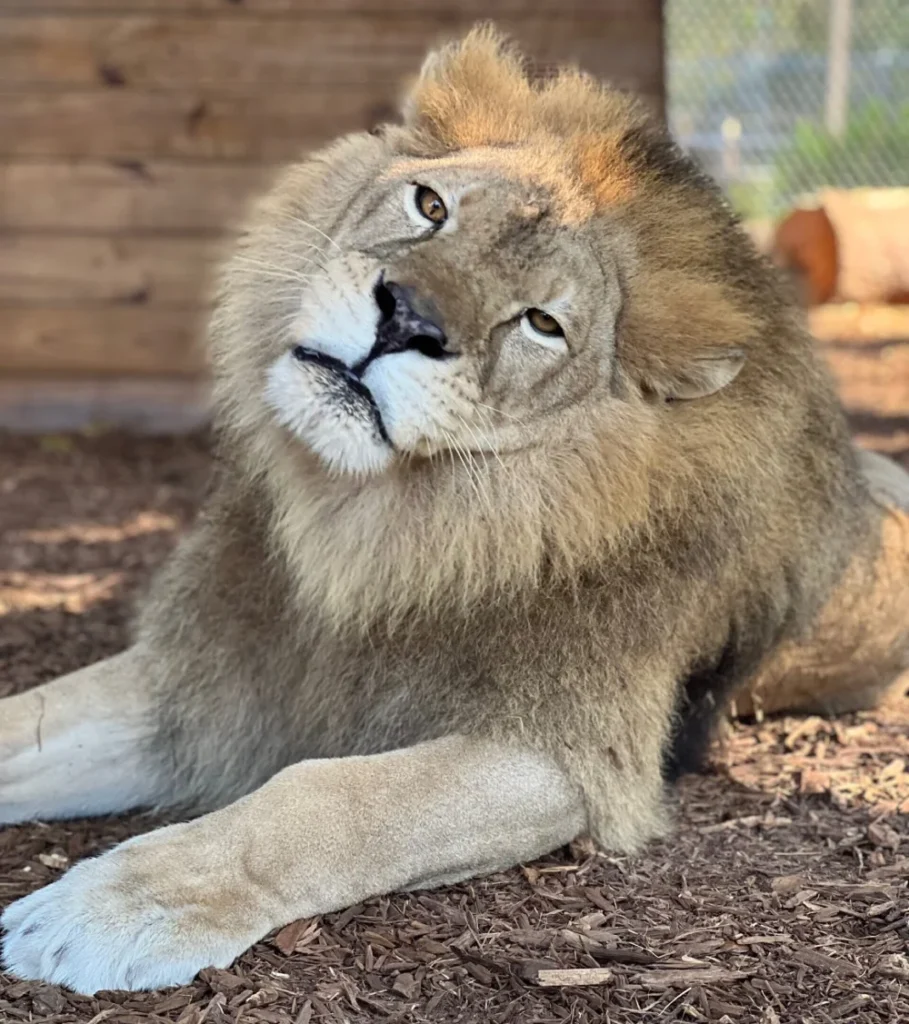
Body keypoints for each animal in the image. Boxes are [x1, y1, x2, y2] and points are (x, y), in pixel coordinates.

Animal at [2, 27, 907, 995]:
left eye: (542, 323)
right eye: (429, 205)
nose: (405, 317)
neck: (371, 526)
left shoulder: (566, 754)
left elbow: (326, 796)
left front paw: (120, 905)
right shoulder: (207, 668)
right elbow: (28, 718)